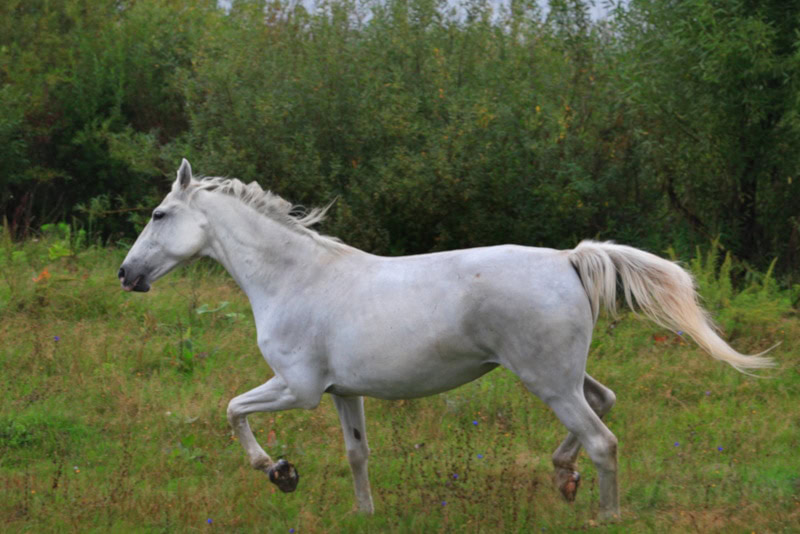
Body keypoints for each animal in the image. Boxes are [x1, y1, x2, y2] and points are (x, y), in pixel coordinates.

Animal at [118, 159, 774, 521]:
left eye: (157, 215)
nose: (127, 275)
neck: (295, 278)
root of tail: (567, 258)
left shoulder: (297, 388)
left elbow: (232, 409)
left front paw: (278, 470)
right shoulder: (341, 392)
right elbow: (356, 454)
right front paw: (362, 512)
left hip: (544, 379)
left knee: (603, 441)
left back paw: (604, 513)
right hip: (560, 375)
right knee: (604, 403)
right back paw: (562, 476)